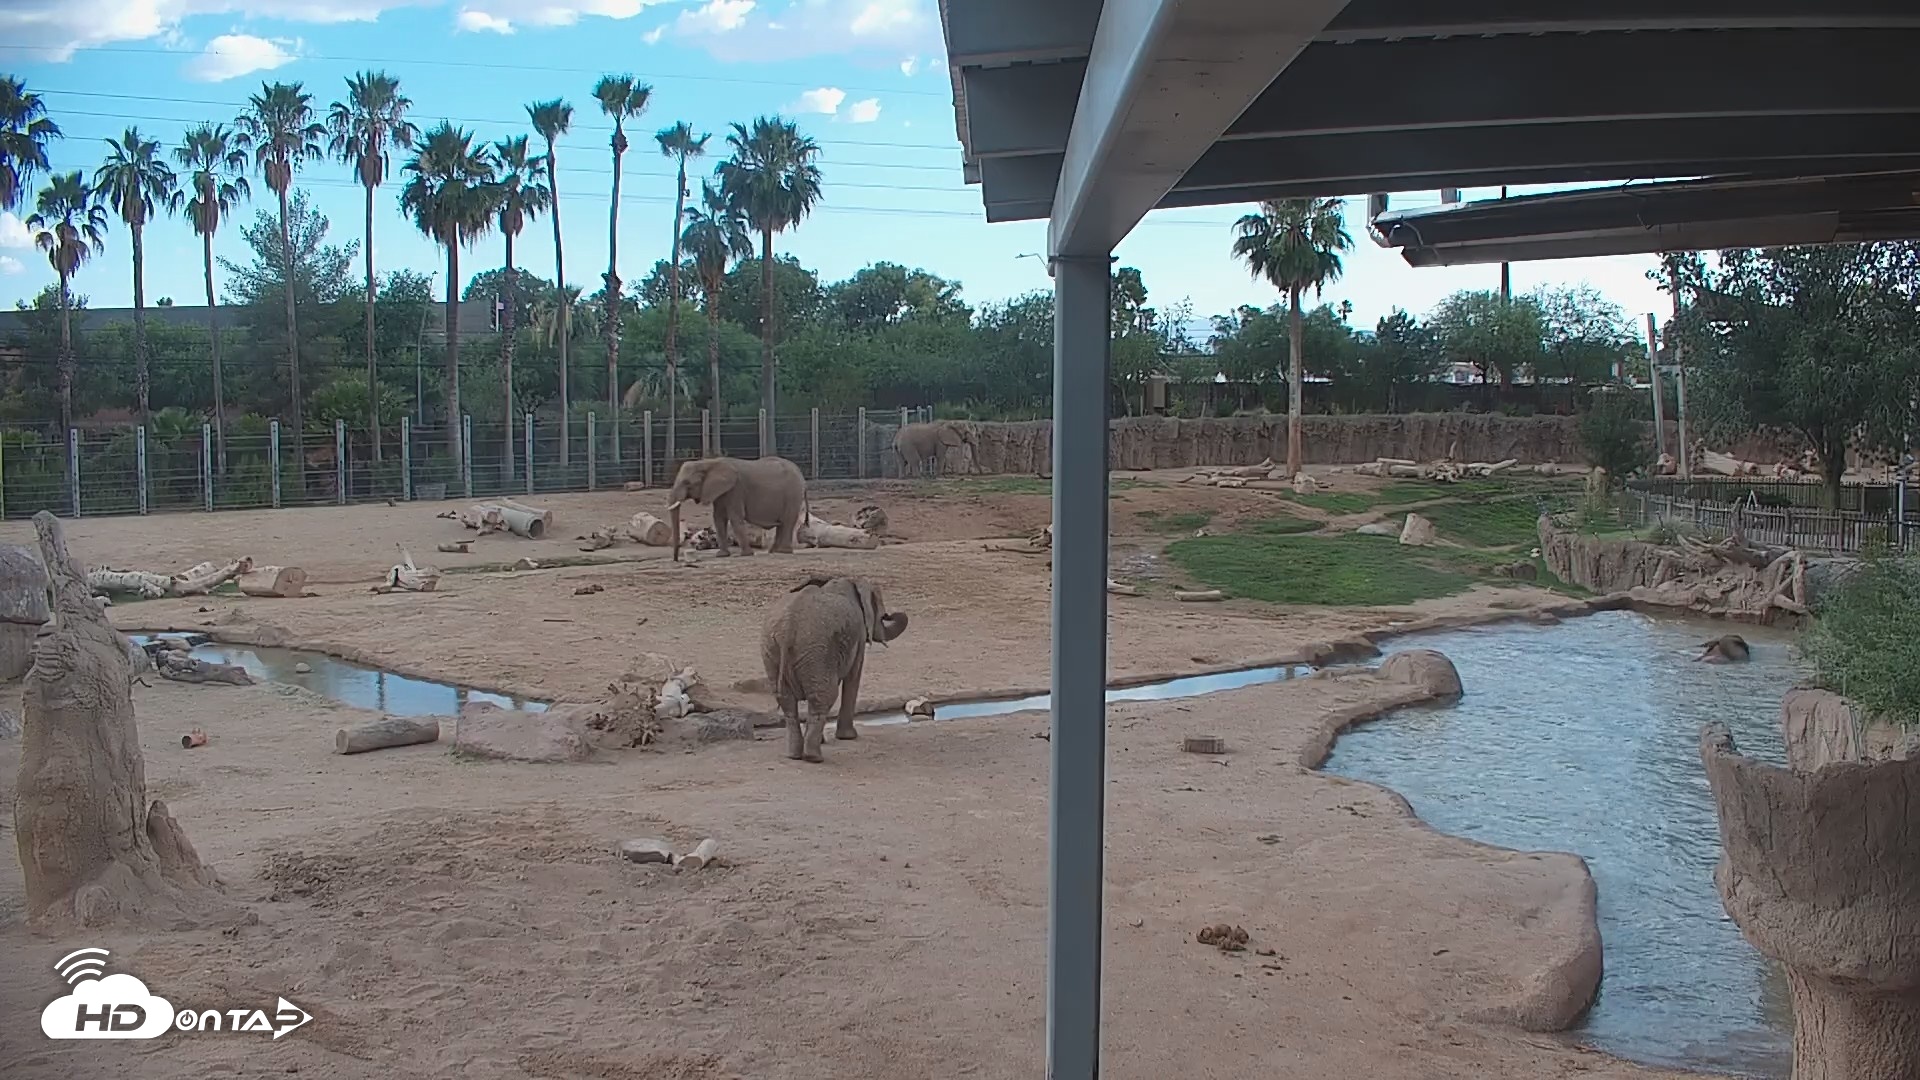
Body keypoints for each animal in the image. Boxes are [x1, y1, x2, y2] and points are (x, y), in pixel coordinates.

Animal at [666, 455, 809, 561]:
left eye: (687, 483)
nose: (676, 559)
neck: (709, 462)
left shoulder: (736, 490)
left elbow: (735, 518)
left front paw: (746, 554)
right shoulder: (721, 492)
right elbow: (718, 518)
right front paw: (722, 555)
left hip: (793, 494)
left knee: (788, 521)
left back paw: (783, 551)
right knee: (782, 524)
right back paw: (773, 551)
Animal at [761, 575, 909, 762]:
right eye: (882, 616)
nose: (890, 615)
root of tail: (787, 627)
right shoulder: (858, 636)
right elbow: (853, 678)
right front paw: (849, 737)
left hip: (773, 649)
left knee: (788, 702)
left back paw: (794, 755)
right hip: (814, 649)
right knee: (824, 697)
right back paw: (814, 757)